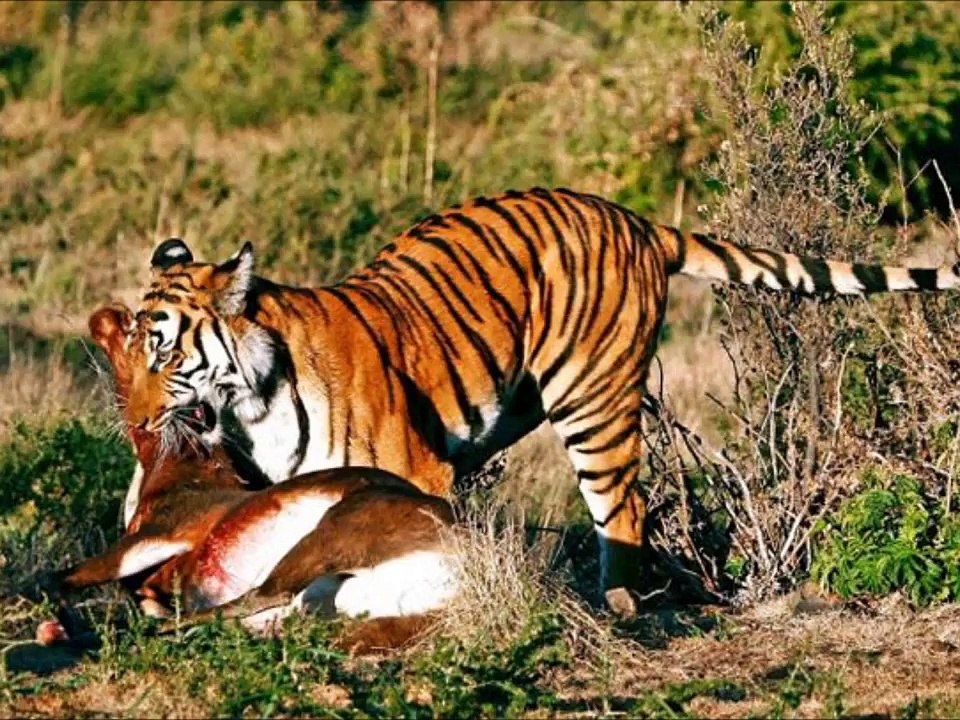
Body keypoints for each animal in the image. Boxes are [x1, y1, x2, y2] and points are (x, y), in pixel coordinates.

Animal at [121, 187, 960, 616]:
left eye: (164, 353)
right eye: (125, 353)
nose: (134, 419)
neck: (251, 406)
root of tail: (635, 218)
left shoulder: (413, 471)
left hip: (594, 402)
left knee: (623, 508)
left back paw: (618, 605)